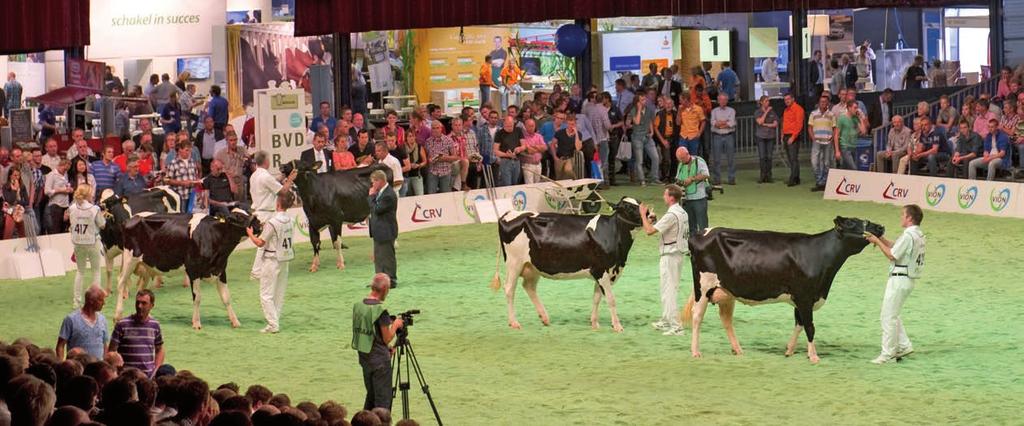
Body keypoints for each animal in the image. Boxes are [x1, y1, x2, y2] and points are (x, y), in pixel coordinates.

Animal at [113, 208, 260, 329]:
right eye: (238, 217)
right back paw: (117, 315)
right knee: (121, 283)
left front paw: (235, 321)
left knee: (141, 290)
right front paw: (196, 323)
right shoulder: (193, 270)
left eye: (247, 212)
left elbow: (226, 297)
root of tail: (131, 218)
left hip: (146, 265)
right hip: (130, 259)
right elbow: (197, 297)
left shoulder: (220, 270)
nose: (258, 222)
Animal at [493, 197, 655, 331]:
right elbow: (610, 299)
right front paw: (617, 325)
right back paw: (514, 322)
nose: (652, 215)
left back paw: (544, 317)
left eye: (639, 202)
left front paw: (594, 323)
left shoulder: (603, 272)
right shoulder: (601, 270)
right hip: (514, 263)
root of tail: (509, 213)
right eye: (628, 207)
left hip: (532, 265)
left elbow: (596, 298)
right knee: (509, 289)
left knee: (529, 287)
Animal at [684, 216, 884, 362]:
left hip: (726, 291)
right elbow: (810, 327)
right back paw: (695, 352)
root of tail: (701, 233)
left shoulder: (800, 298)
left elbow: (799, 324)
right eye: (852, 223)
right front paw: (813, 356)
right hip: (703, 287)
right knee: (697, 316)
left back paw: (738, 349)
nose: (880, 227)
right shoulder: (805, 297)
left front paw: (789, 350)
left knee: (726, 319)